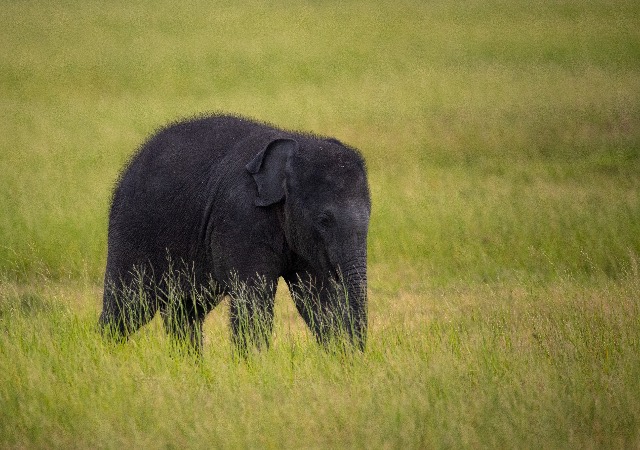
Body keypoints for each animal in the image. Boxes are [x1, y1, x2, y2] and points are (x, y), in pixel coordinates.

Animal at [99, 114, 371, 354]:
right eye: (324, 220)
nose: (358, 353)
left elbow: (319, 297)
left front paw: (339, 356)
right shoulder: (240, 217)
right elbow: (253, 298)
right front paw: (254, 364)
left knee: (185, 311)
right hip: (131, 230)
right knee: (129, 306)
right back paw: (106, 356)